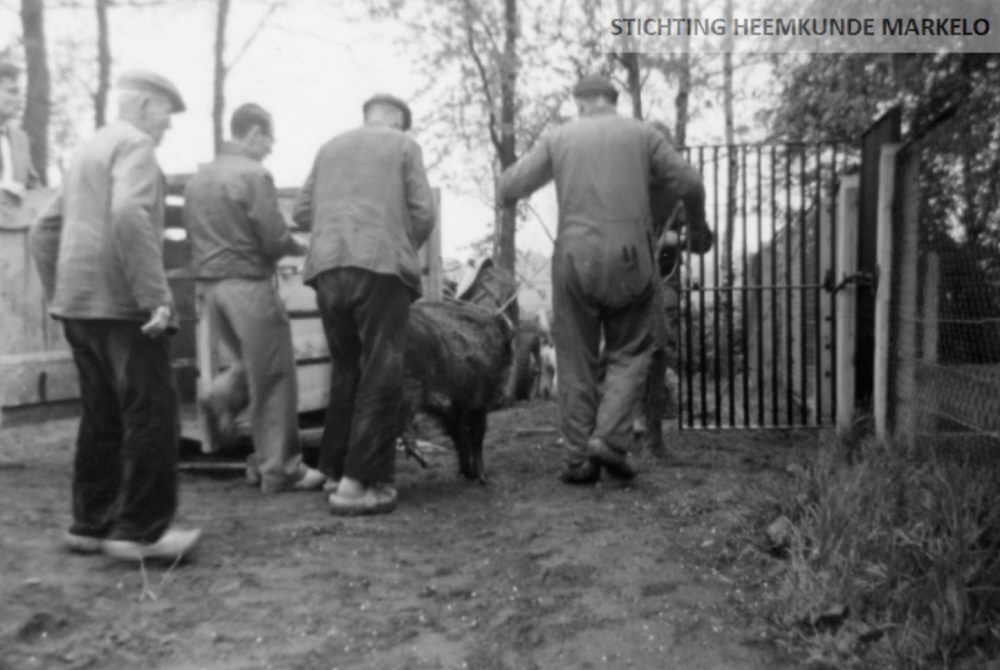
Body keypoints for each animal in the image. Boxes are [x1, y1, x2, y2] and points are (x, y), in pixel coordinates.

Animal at [400, 302, 516, 486]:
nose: (504, 399)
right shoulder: (477, 403)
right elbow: (477, 434)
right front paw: (483, 478)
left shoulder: (453, 409)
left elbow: (459, 435)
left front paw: (467, 474)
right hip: (409, 384)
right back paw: (422, 458)